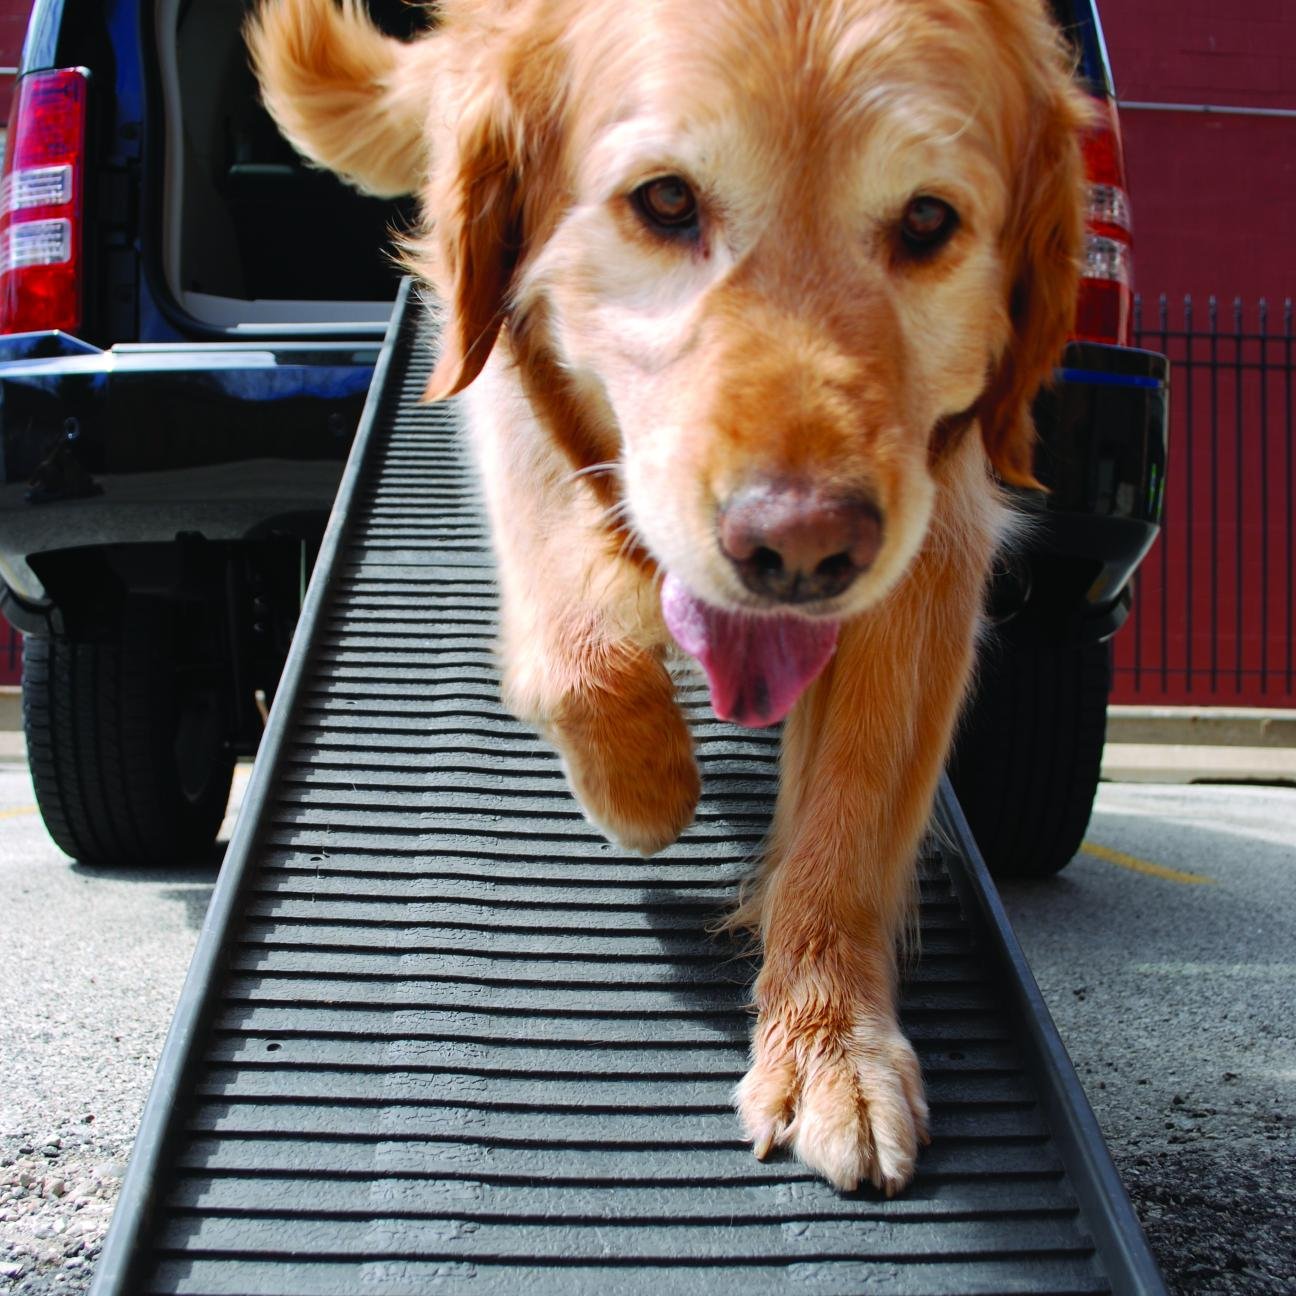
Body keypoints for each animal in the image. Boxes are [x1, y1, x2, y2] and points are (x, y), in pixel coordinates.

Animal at [247, 0, 1088, 1192]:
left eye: (929, 220)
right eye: (667, 201)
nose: (801, 547)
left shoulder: (939, 525)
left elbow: (849, 814)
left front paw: (830, 1044)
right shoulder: (513, 381)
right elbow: (578, 651)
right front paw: (644, 784)